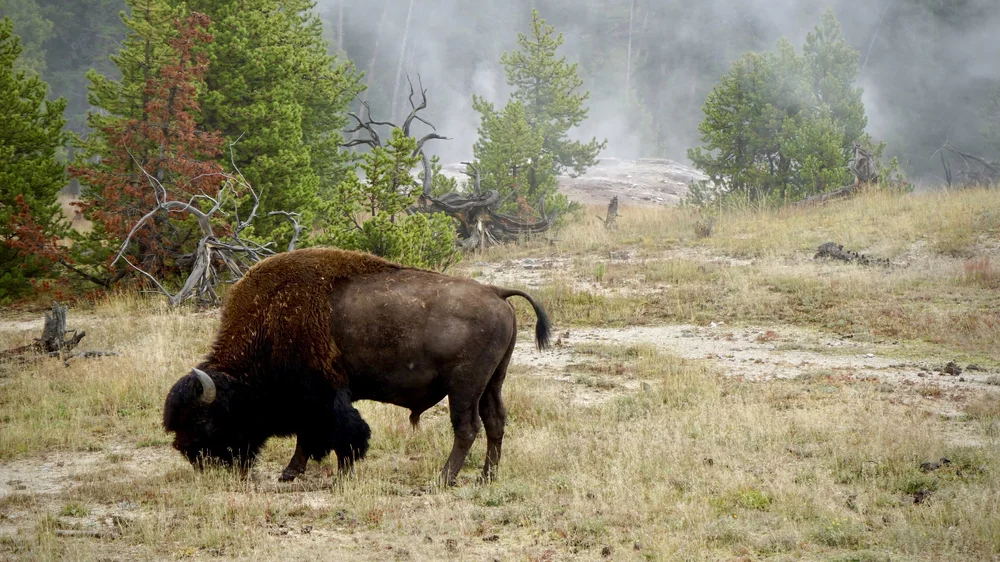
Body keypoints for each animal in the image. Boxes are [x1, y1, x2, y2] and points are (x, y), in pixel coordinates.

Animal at [163, 248, 550, 485]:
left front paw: (327, 472)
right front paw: (292, 472)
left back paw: (443, 478)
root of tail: (496, 291)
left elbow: (336, 434)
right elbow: (313, 435)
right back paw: (486, 476)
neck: (272, 320)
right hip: (492, 382)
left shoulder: (322, 396)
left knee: (467, 428)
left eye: (205, 419)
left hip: (464, 386)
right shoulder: (315, 400)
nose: (190, 454)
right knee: (495, 421)